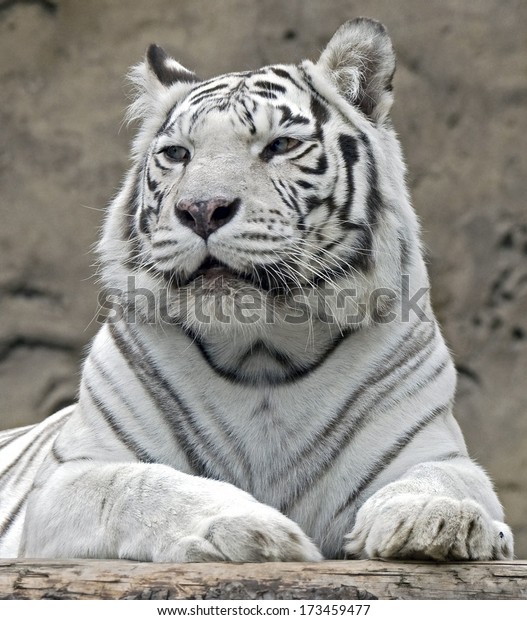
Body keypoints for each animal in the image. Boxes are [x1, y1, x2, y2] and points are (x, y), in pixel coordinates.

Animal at [0, 18, 512, 560]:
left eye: (280, 146)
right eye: (178, 154)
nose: (202, 209)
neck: (262, 351)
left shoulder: (435, 449)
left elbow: (444, 477)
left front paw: (437, 519)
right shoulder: (68, 478)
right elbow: (140, 486)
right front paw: (252, 532)